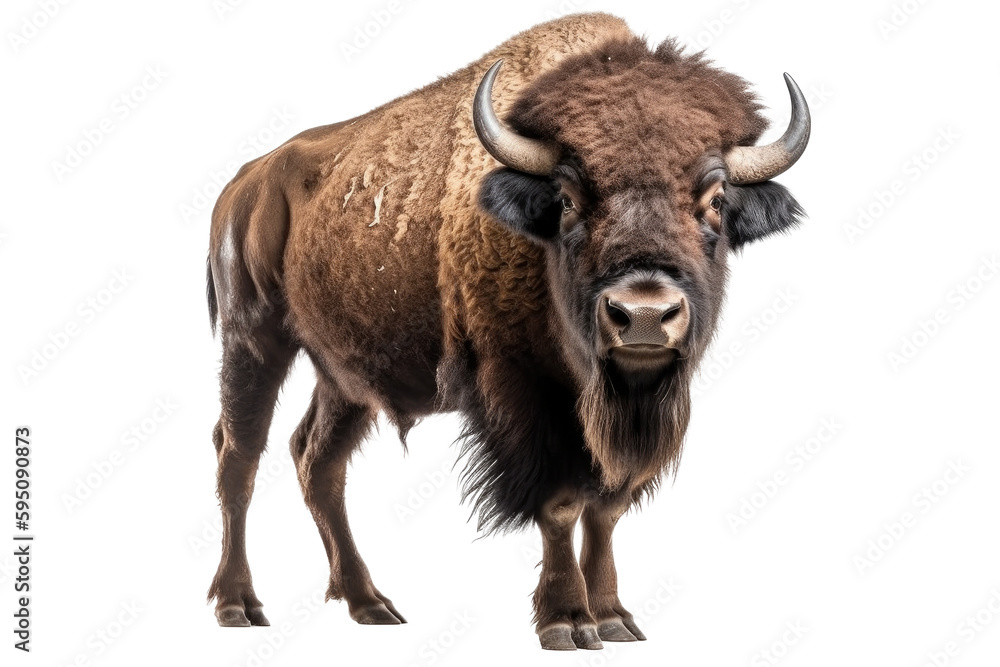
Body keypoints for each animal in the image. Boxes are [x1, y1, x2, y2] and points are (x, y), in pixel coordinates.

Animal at [205, 12, 810, 650]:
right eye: (566, 199)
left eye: (716, 199)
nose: (643, 314)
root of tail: (245, 183)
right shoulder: (524, 396)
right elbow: (561, 505)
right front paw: (567, 622)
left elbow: (606, 508)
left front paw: (614, 617)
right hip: (252, 342)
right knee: (239, 457)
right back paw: (238, 604)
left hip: (343, 378)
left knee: (316, 461)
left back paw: (369, 603)